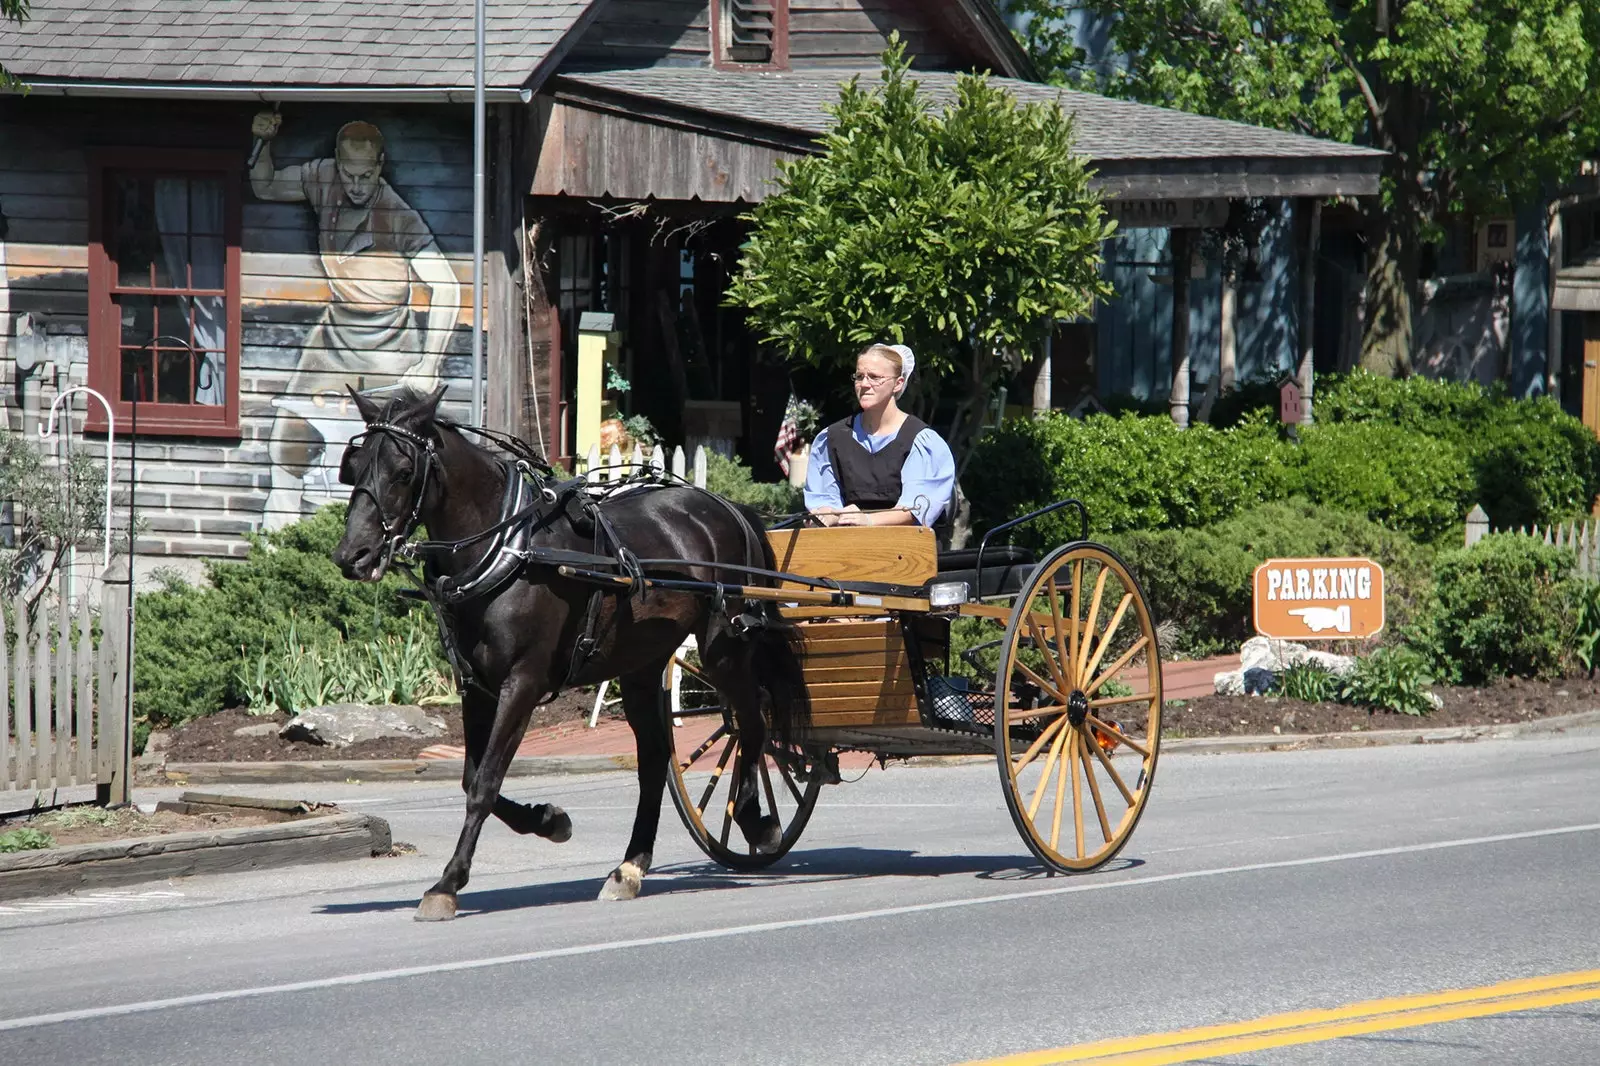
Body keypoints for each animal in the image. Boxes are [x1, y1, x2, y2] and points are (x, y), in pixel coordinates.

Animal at [334, 385, 812, 915]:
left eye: (403, 471)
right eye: (354, 466)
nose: (352, 555)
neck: (509, 548)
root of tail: (729, 508)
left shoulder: (522, 683)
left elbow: (485, 782)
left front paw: (447, 883)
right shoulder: (476, 686)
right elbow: (473, 777)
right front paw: (548, 819)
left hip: (724, 648)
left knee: (751, 722)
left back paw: (757, 821)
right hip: (643, 664)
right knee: (654, 761)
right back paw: (629, 868)